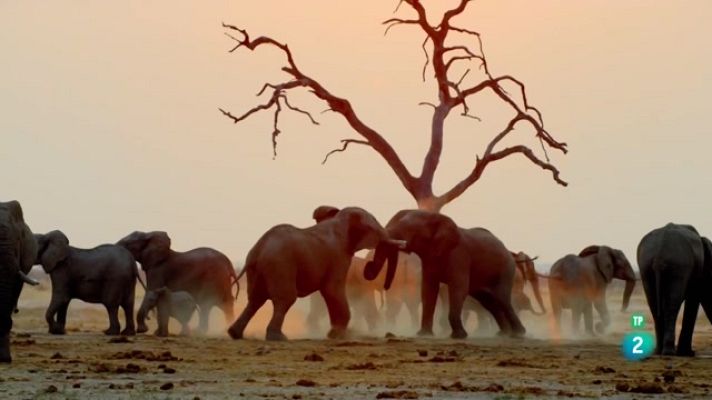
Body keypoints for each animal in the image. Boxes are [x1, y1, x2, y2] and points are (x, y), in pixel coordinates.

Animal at [227, 205, 404, 341]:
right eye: (375, 226)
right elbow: (332, 289)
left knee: (255, 300)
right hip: (281, 265)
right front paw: (337, 335)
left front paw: (337, 334)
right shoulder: (338, 256)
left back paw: (235, 334)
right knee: (285, 299)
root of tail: (259, 249)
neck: (339, 219)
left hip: (260, 270)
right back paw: (278, 337)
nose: (368, 266)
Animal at [365, 209, 525, 339]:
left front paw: (459, 336)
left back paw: (518, 334)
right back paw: (503, 333)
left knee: (502, 299)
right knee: (489, 302)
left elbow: (458, 288)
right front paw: (424, 335)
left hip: (506, 270)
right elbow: (428, 289)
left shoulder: (459, 255)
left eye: (409, 230)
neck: (433, 216)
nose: (368, 268)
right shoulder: (429, 257)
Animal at [638, 223, 712, 356]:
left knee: (654, 304)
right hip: (678, 265)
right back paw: (668, 352)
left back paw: (659, 351)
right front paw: (688, 353)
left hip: (645, 266)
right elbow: (694, 298)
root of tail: (660, 254)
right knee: (671, 305)